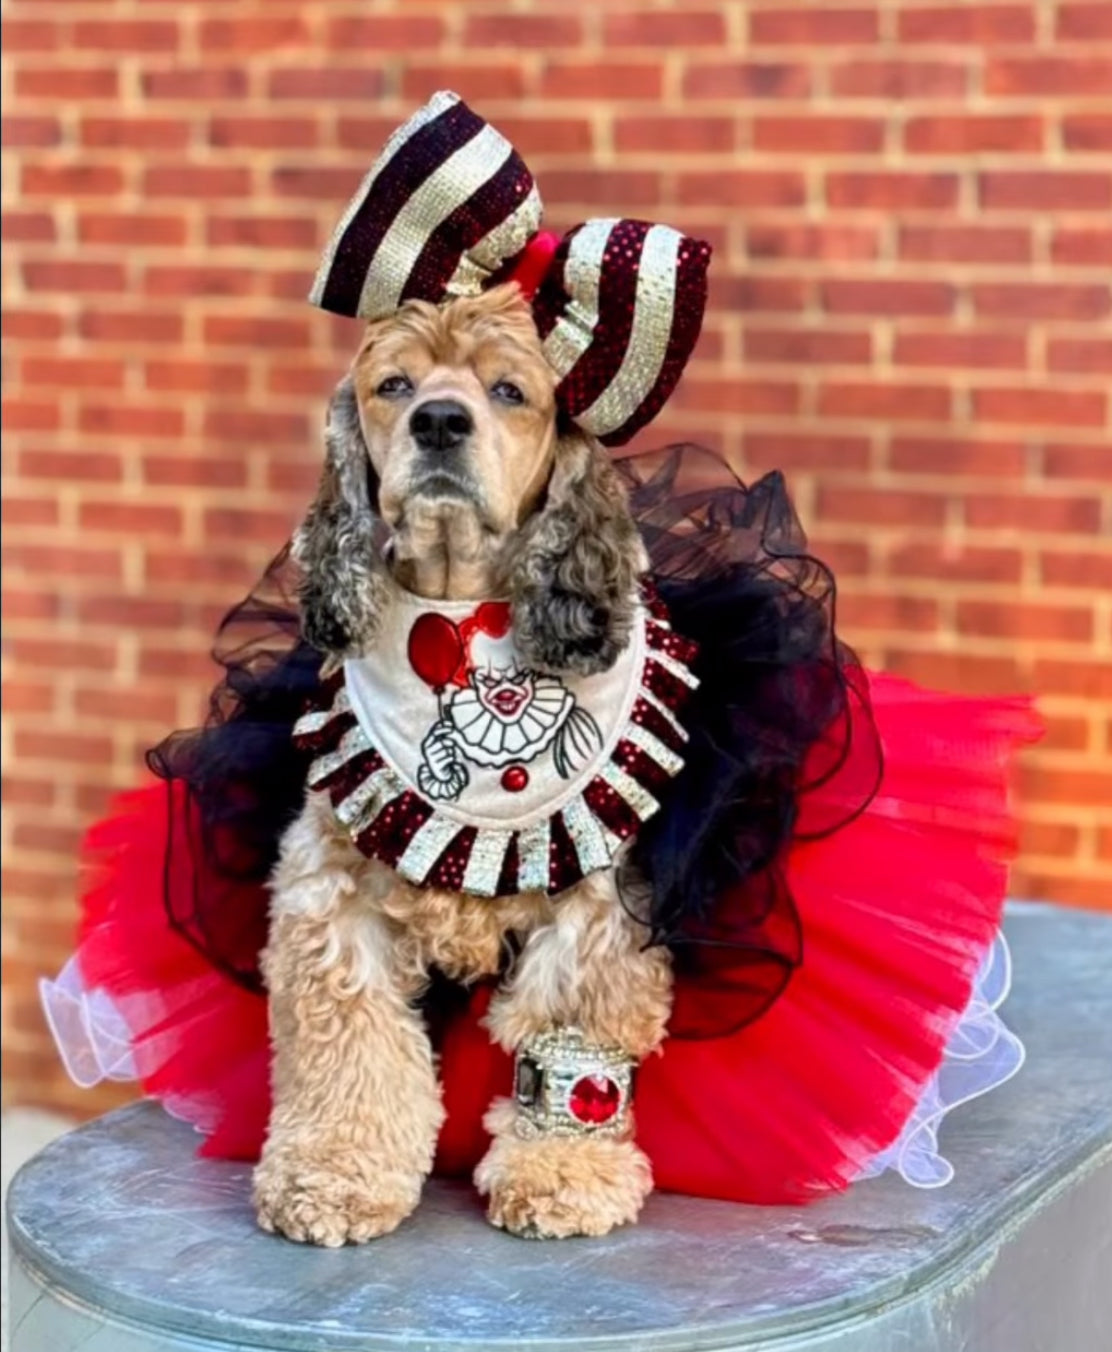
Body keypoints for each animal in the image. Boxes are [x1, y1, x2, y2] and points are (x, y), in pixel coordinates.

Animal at [252, 285, 673, 1243]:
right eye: (394, 385)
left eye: (510, 391)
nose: (440, 422)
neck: (457, 613)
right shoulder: (332, 893)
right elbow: (350, 1040)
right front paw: (332, 1174)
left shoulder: (595, 902)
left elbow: (569, 1034)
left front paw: (563, 1173)